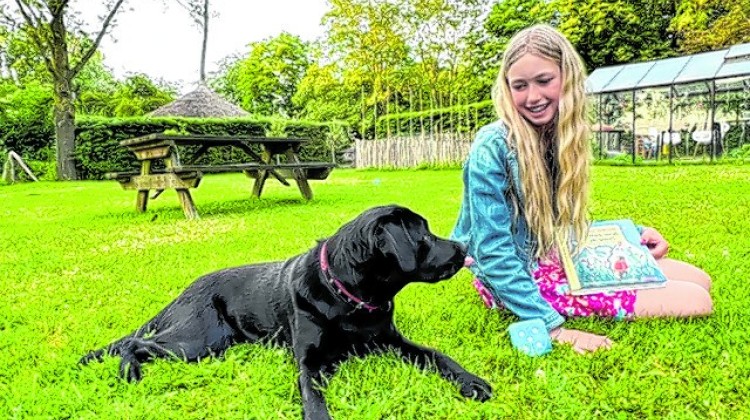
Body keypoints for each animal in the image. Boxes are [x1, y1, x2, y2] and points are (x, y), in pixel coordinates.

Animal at [81, 205, 494, 418]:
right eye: (423, 235)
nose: (462, 247)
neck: (350, 298)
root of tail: (184, 291)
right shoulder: (309, 361)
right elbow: (312, 394)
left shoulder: (390, 340)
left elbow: (436, 355)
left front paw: (471, 381)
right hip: (198, 341)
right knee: (135, 343)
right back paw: (129, 371)